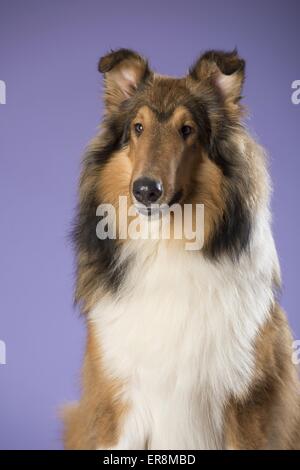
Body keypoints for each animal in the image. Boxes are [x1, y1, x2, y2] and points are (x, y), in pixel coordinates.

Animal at [62, 49, 298, 450]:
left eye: (187, 130)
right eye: (138, 127)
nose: (146, 190)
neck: (166, 243)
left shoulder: (246, 406)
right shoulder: (117, 401)